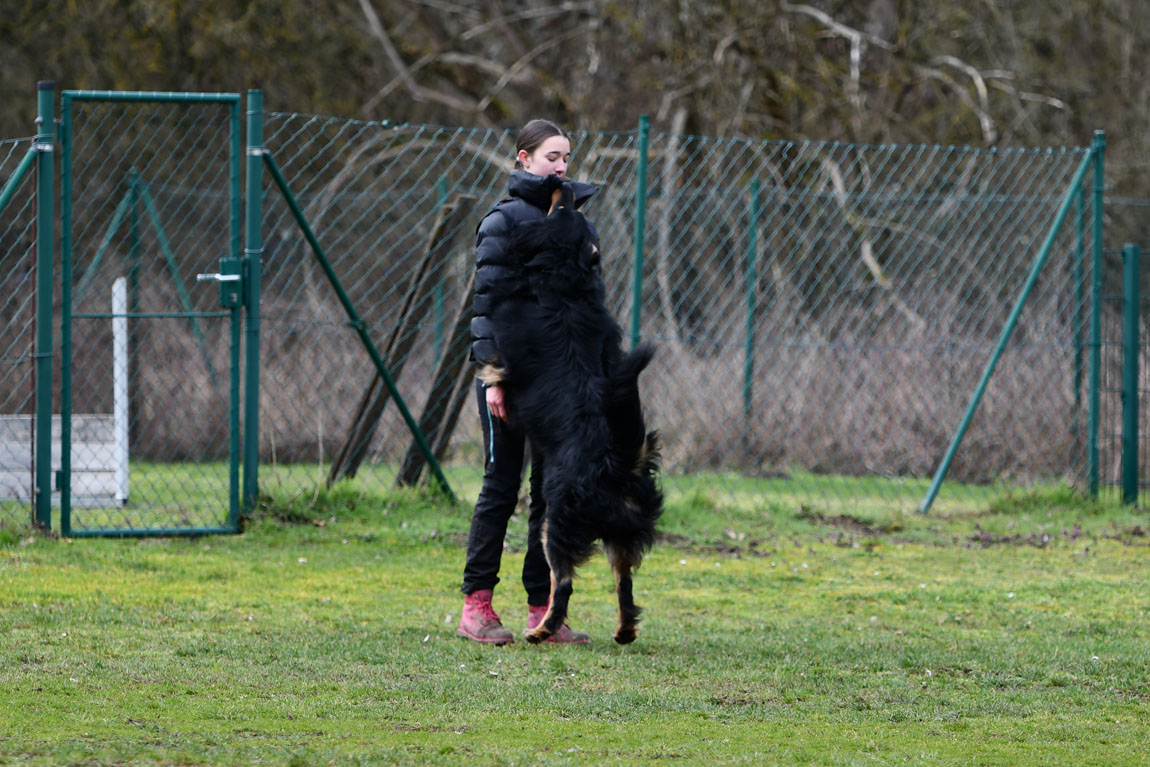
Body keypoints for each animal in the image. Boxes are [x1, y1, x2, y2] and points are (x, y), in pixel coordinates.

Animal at [478, 182, 667, 643]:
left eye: (559, 206)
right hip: (621, 532)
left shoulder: (508, 345)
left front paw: (488, 379)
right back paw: (623, 631)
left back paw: (541, 630)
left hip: (556, 522)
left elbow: (495, 365)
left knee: (561, 584)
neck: (563, 280)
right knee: (625, 583)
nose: (563, 184)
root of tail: (618, 466)